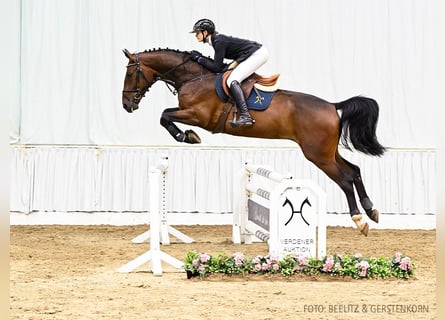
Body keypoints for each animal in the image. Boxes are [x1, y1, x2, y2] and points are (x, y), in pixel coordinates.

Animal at [121, 48, 386, 236]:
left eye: (130, 73)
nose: (127, 105)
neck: (194, 77)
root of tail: (332, 106)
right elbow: (165, 115)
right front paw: (187, 136)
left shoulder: (198, 116)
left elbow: (164, 115)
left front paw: (186, 136)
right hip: (327, 152)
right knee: (354, 171)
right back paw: (371, 209)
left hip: (318, 155)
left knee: (345, 180)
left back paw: (359, 219)